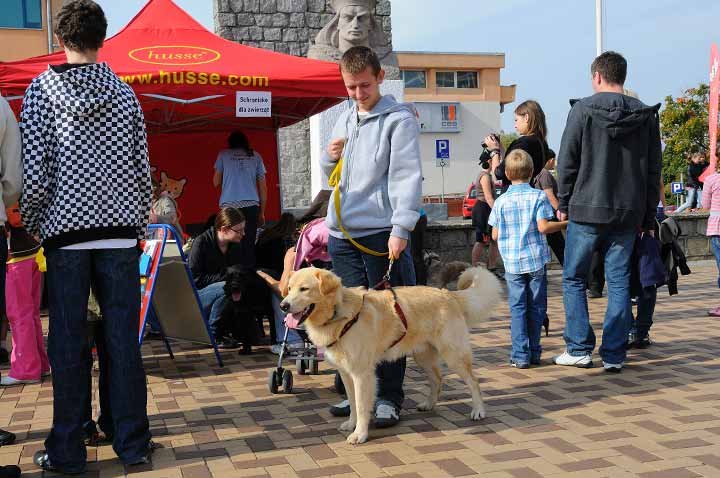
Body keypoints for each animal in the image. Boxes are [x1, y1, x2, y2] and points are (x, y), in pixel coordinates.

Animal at [280, 266, 500, 444]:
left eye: (304, 289)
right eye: (289, 289)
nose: (283, 306)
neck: (338, 314)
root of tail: (448, 294)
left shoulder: (362, 374)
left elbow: (361, 406)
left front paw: (360, 434)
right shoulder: (346, 373)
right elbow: (352, 403)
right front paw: (351, 425)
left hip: (453, 354)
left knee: (473, 382)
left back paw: (478, 411)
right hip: (423, 356)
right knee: (437, 379)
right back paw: (429, 404)